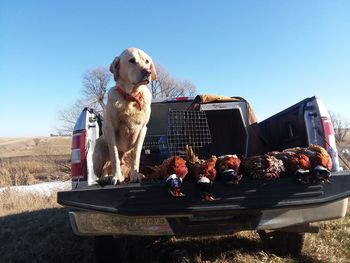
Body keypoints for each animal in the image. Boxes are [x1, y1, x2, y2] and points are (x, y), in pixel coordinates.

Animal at [94, 48, 157, 184]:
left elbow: (136, 155)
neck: (131, 97)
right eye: (132, 60)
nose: (147, 72)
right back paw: (107, 177)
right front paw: (116, 177)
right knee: (103, 170)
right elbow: (114, 156)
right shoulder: (110, 129)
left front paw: (135, 175)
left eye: (147, 61)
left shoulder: (143, 129)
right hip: (98, 152)